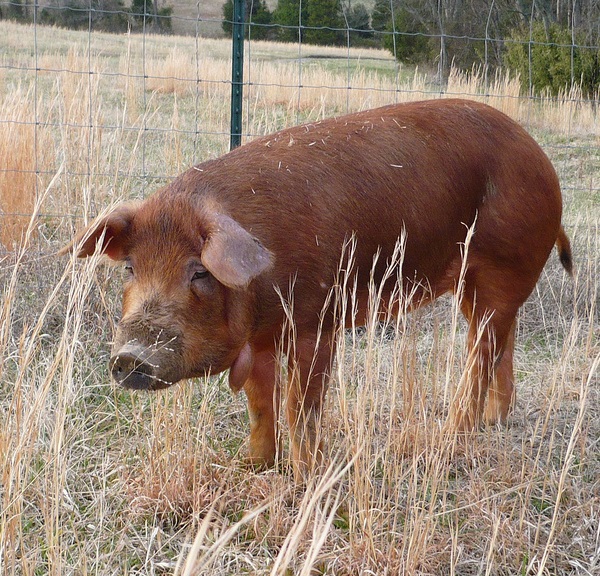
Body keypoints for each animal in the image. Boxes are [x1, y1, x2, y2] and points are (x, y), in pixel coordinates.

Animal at [61, 100, 572, 476]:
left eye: (199, 272)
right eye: (130, 268)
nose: (130, 356)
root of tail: (543, 160)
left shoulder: (316, 321)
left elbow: (299, 405)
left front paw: (307, 474)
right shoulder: (262, 337)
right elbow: (260, 402)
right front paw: (252, 464)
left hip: (503, 264)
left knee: (481, 351)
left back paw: (452, 438)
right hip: (474, 283)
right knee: (502, 340)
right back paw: (494, 421)